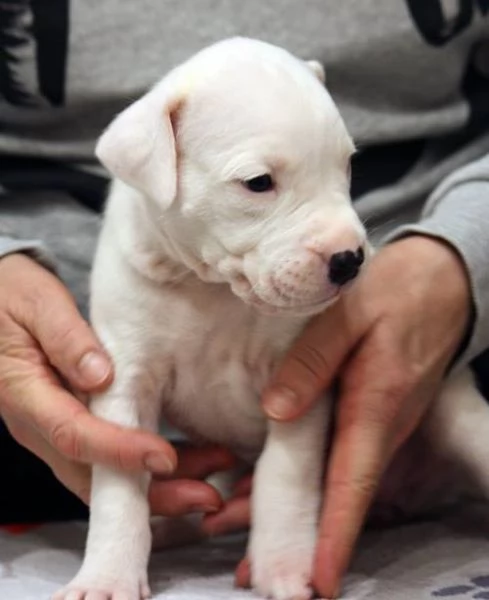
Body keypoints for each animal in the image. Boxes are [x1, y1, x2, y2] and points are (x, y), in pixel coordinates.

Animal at [52, 36, 488, 600]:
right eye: (258, 182)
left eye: (347, 166)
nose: (350, 259)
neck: (214, 290)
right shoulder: (125, 378)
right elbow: (121, 479)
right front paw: (108, 575)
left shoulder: (296, 383)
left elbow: (287, 473)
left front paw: (282, 565)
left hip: (460, 417)